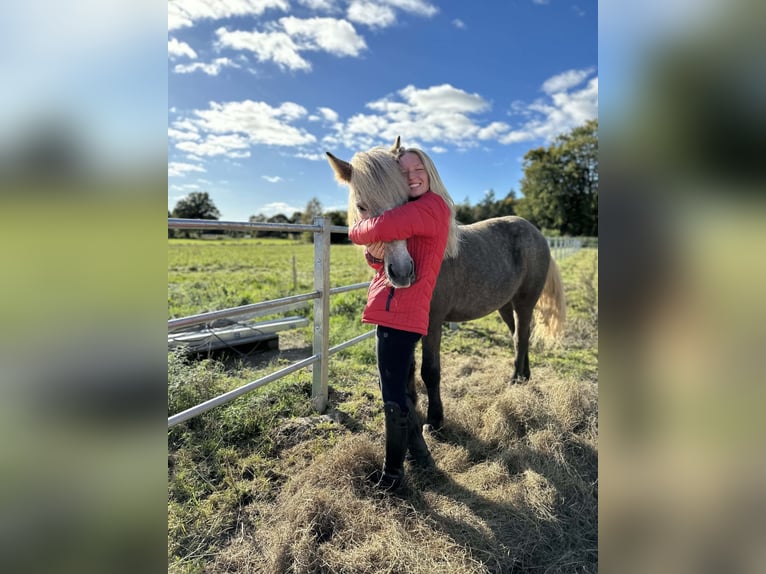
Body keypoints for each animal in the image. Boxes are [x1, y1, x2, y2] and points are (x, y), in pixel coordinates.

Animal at [328, 141, 568, 432]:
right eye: (362, 207)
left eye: (406, 204)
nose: (402, 271)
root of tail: (537, 233)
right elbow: (408, 369)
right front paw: (414, 409)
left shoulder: (432, 322)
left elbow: (429, 370)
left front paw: (435, 420)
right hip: (505, 305)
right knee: (519, 336)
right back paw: (525, 375)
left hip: (525, 301)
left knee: (521, 337)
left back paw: (515, 380)